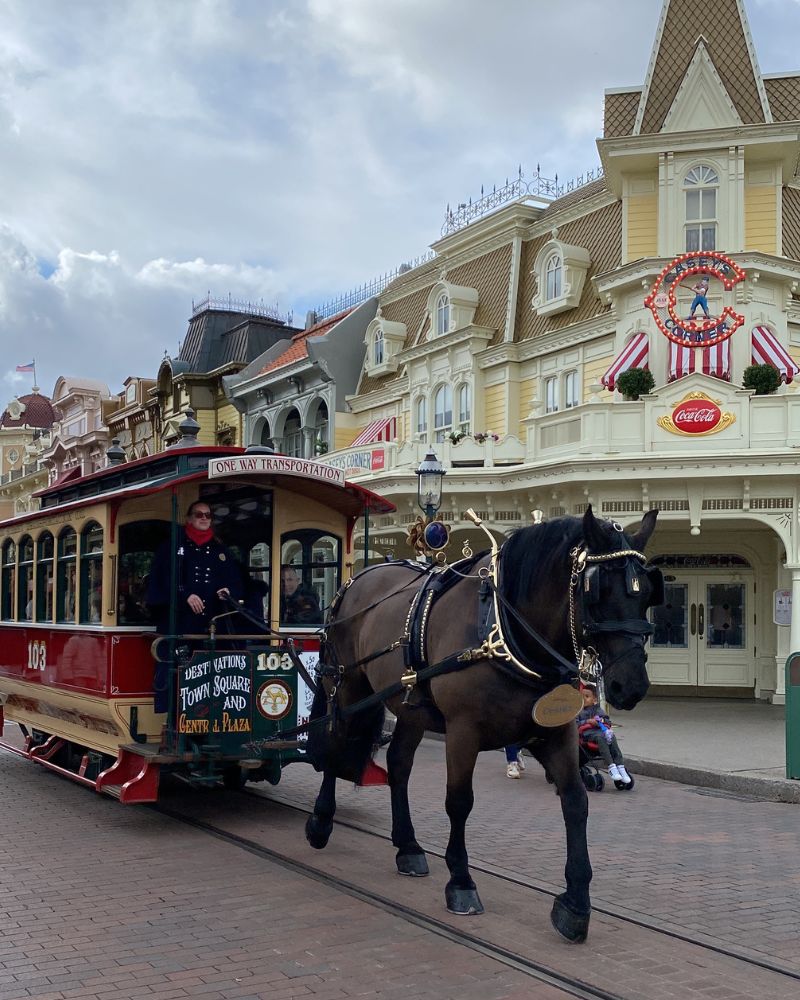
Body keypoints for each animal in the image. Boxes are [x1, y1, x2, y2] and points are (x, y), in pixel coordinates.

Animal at [304, 512, 660, 940]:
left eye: (648, 594)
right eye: (598, 590)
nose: (631, 686)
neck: (506, 633)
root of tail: (357, 579)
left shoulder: (555, 732)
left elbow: (575, 802)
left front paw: (575, 903)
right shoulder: (463, 731)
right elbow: (459, 802)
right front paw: (461, 881)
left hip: (411, 709)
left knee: (399, 764)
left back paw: (408, 847)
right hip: (347, 689)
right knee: (335, 743)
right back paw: (321, 822)